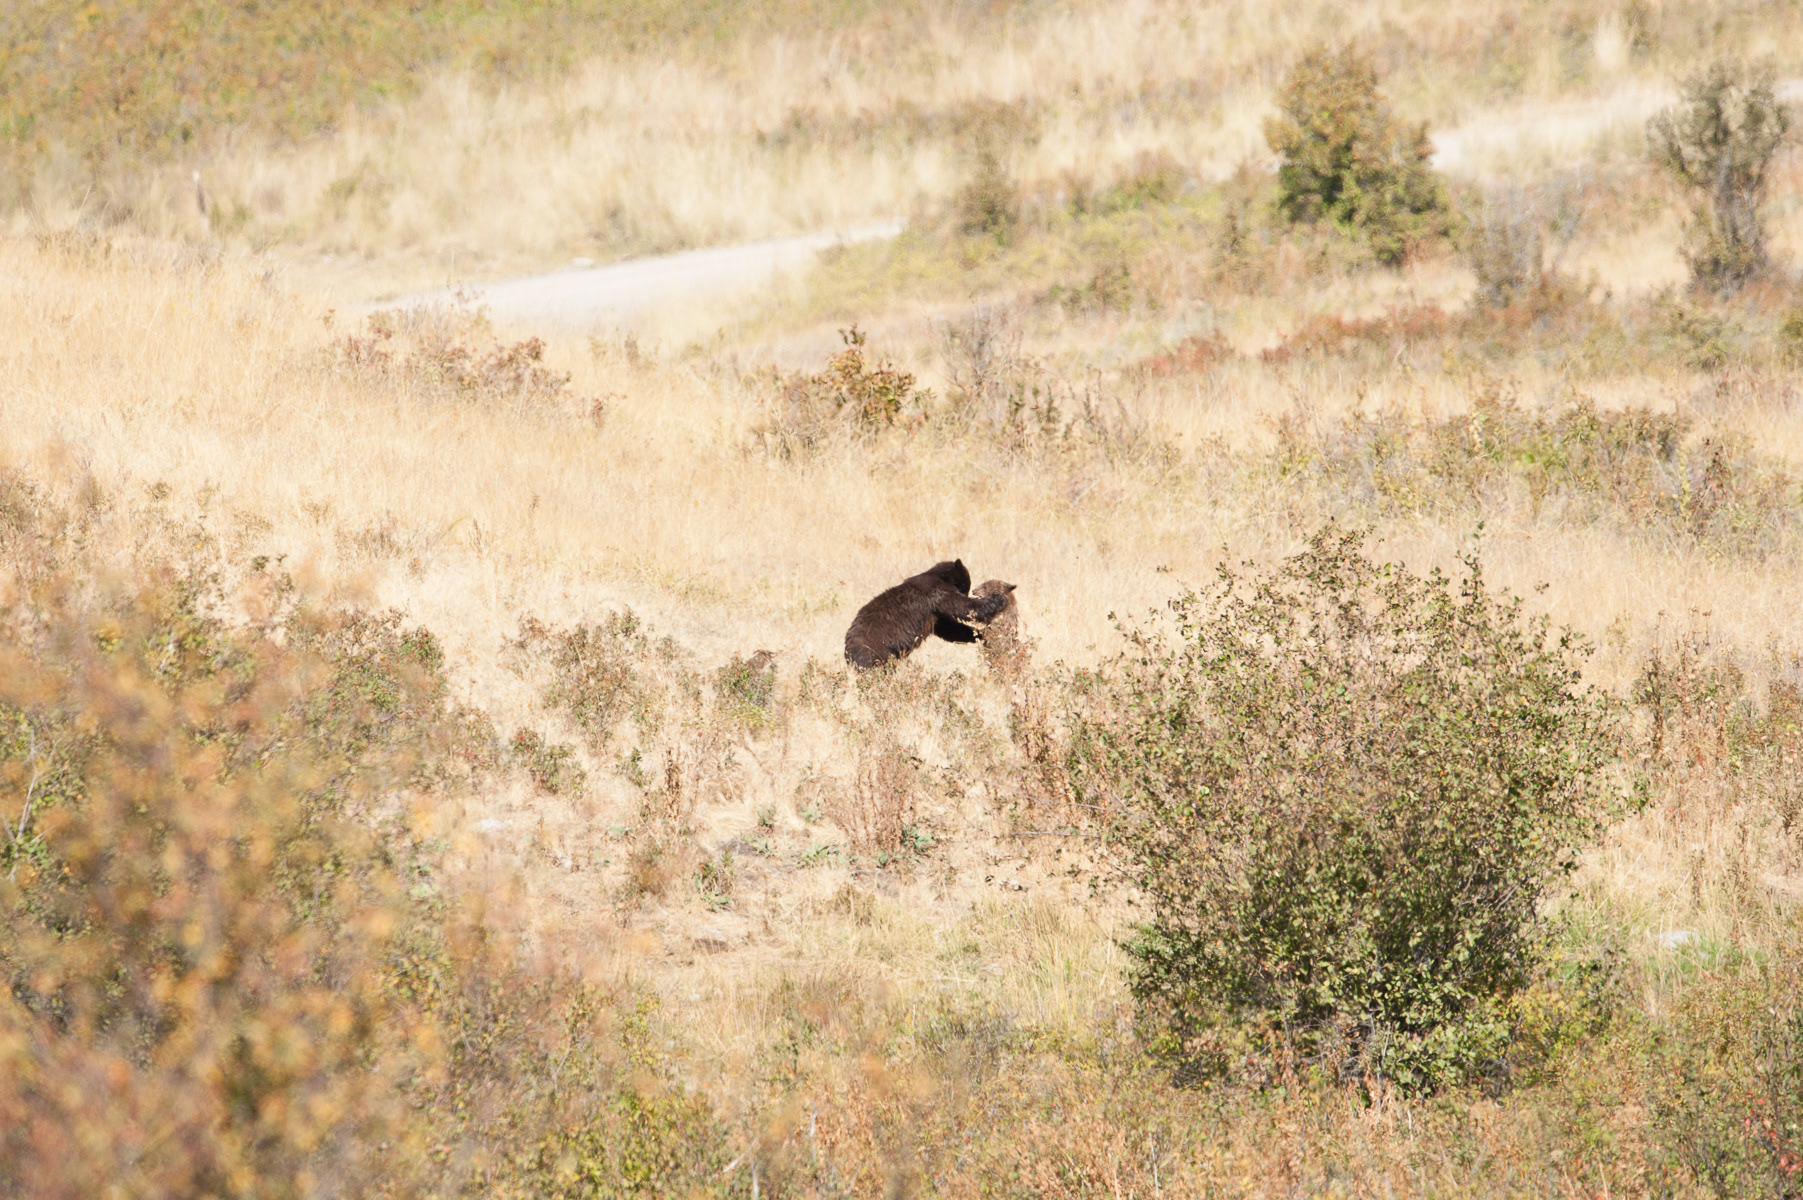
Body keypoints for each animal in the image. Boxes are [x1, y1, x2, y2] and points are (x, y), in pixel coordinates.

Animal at [843, 559, 1015, 670]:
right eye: (966, 585)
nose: (968, 592)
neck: (940, 576)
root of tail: (847, 648)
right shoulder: (937, 593)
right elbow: (963, 607)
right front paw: (998, 600)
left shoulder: (935, 613)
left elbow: (950, 629)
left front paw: (979, 634)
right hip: (874, 651)